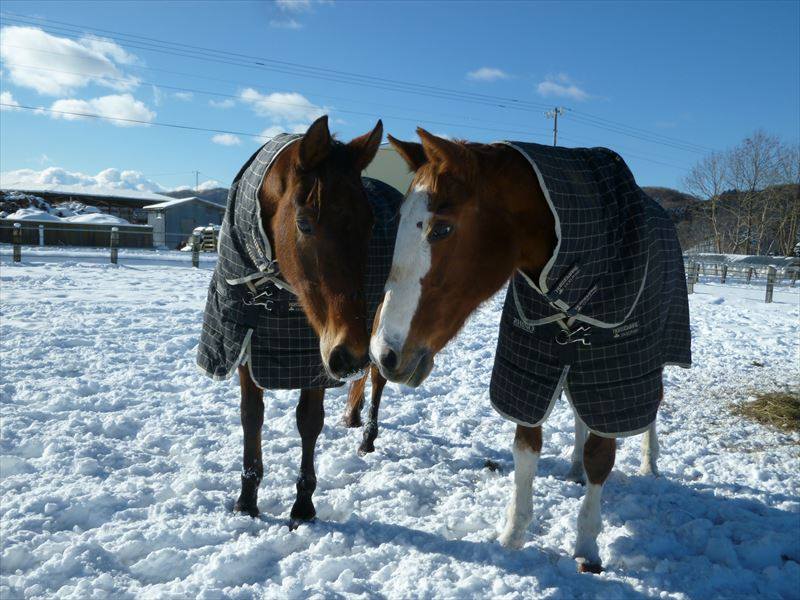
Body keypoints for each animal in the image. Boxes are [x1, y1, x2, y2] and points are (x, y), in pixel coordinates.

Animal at [197, 115, 393, 527]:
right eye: (304, 223)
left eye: (370, 224)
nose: (348, 354)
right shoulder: (245, 345)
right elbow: (251, 418)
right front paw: (246, 501)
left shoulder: (314, 358)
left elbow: (308, 421)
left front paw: (303, 506)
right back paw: (352, 418)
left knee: (377, 376)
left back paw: (367, 437)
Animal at [370, 129, 690, 572]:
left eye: (442, 229)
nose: (383, 353)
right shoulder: (530, 366)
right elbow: (526, 451)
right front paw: (513, 535)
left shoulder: (613, 374)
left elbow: (601, 456)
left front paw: (587, 547)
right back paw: (573, 466)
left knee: (649, 411)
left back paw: (649, 462)